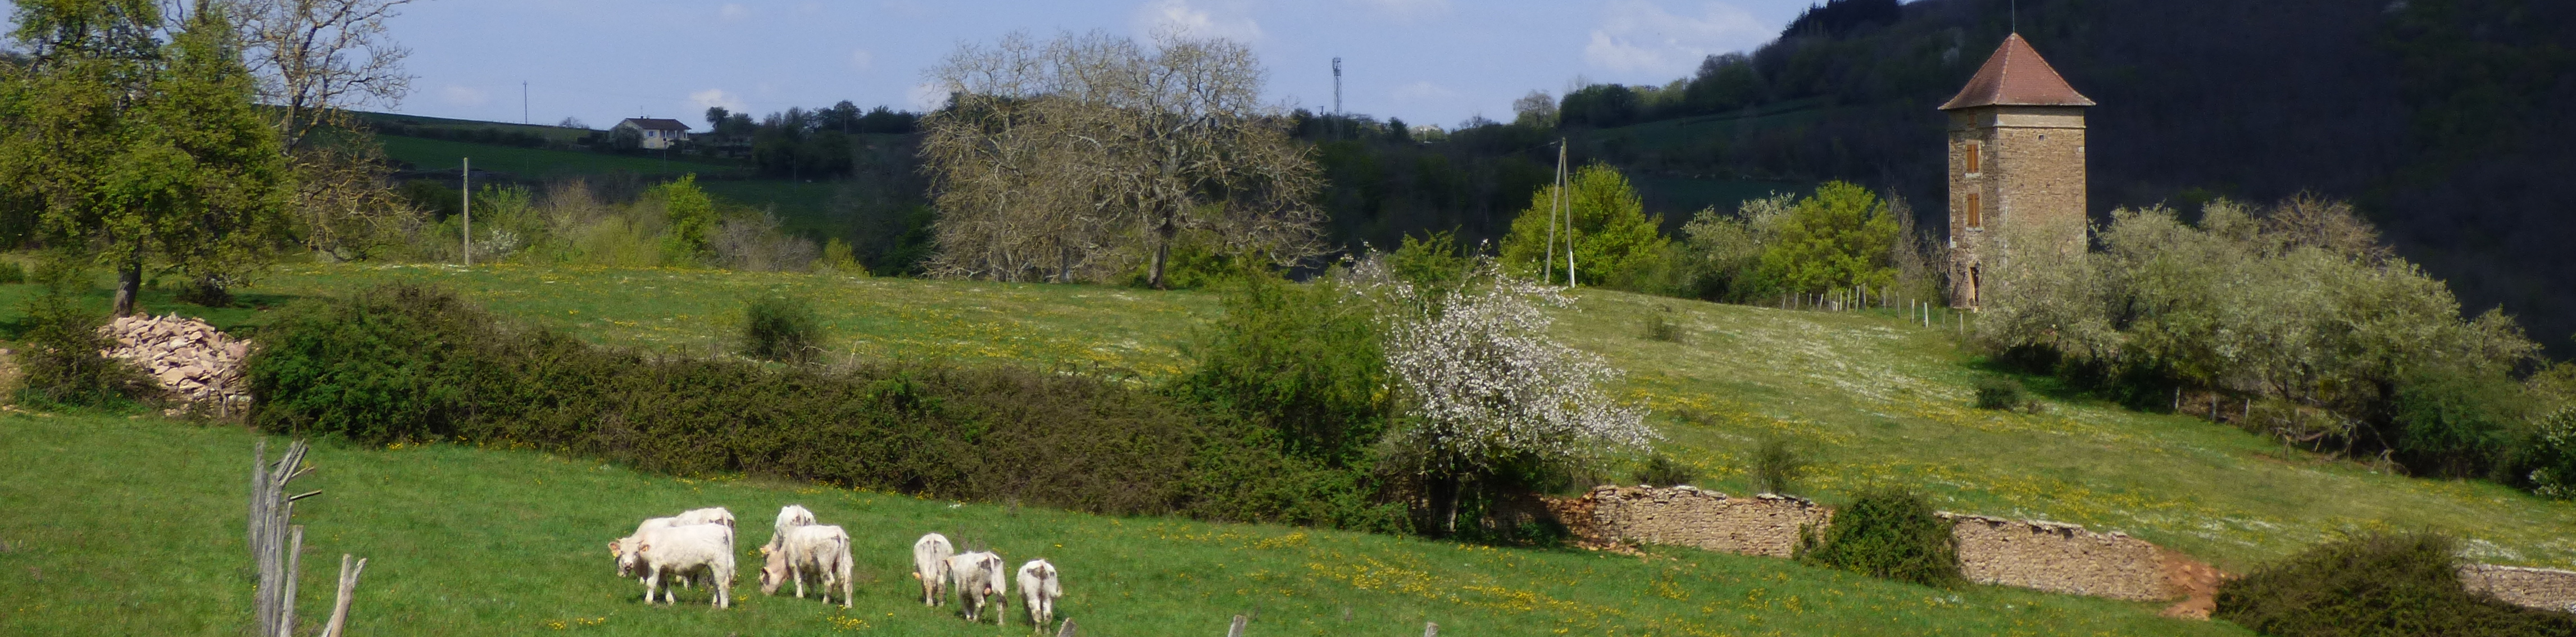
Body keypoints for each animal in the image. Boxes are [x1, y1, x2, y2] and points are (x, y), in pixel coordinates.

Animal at [618, 526, 742, 608]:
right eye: (622, 552)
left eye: (636, 552)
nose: (628, 564)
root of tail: (722, 528)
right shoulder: (662, 570)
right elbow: (664, 585)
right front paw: (670, 601)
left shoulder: (655, 566)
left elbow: (651, 584)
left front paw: (648, 601)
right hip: (712, 566)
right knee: (717, 584)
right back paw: (715, 605)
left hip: (719, 563)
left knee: (723, 584)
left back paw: (724, 607)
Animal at [752, 523, 855, 606]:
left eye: (762, 581)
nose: (763, 594)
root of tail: (838, 530)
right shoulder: (810, 569)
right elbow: (811, 583)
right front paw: (814, 597)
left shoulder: (794, 564)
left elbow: (798, 580)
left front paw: (800, 596)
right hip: (846, 562)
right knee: (848, 582)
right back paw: (848, 605)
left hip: (825, 565)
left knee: (830, 583)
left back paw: (825, 602)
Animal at [906, 531, 948, 606]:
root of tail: (932, 537)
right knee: (940, 584)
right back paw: (940, 604)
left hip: (924, 566)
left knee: (929, 582)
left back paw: (930, 604)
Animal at [948, 549, 1005, 624]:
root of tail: (988, 555)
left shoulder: (960, 592)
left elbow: (965, 604)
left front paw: (969, 618)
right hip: (1000, 587)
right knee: (1000, 604)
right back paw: (1000, 624)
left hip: (976, 589)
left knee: (981, 604)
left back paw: (974, 621)